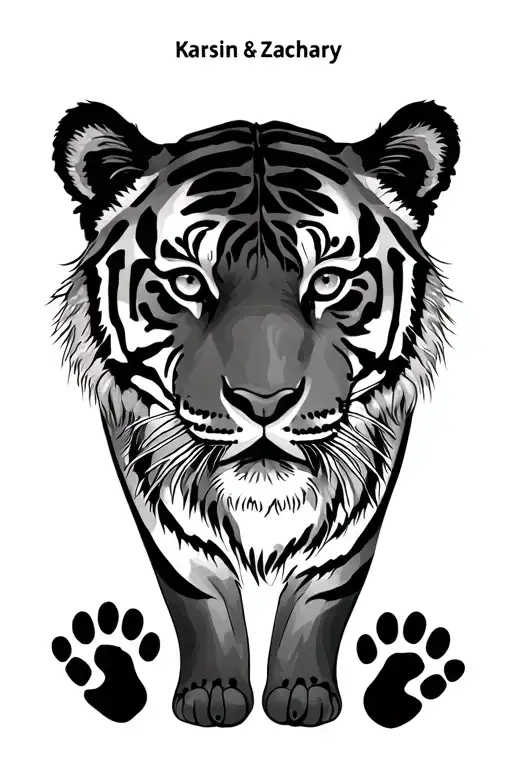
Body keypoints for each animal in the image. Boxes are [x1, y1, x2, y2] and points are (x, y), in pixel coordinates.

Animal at [51, 100, 459, 727]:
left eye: (329, 281)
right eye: (188, 281)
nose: (263, 402)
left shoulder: (367, 492)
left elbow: (322, 593)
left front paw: (302, 694)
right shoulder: (154, 496)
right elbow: (198, 594)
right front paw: (213, 694)